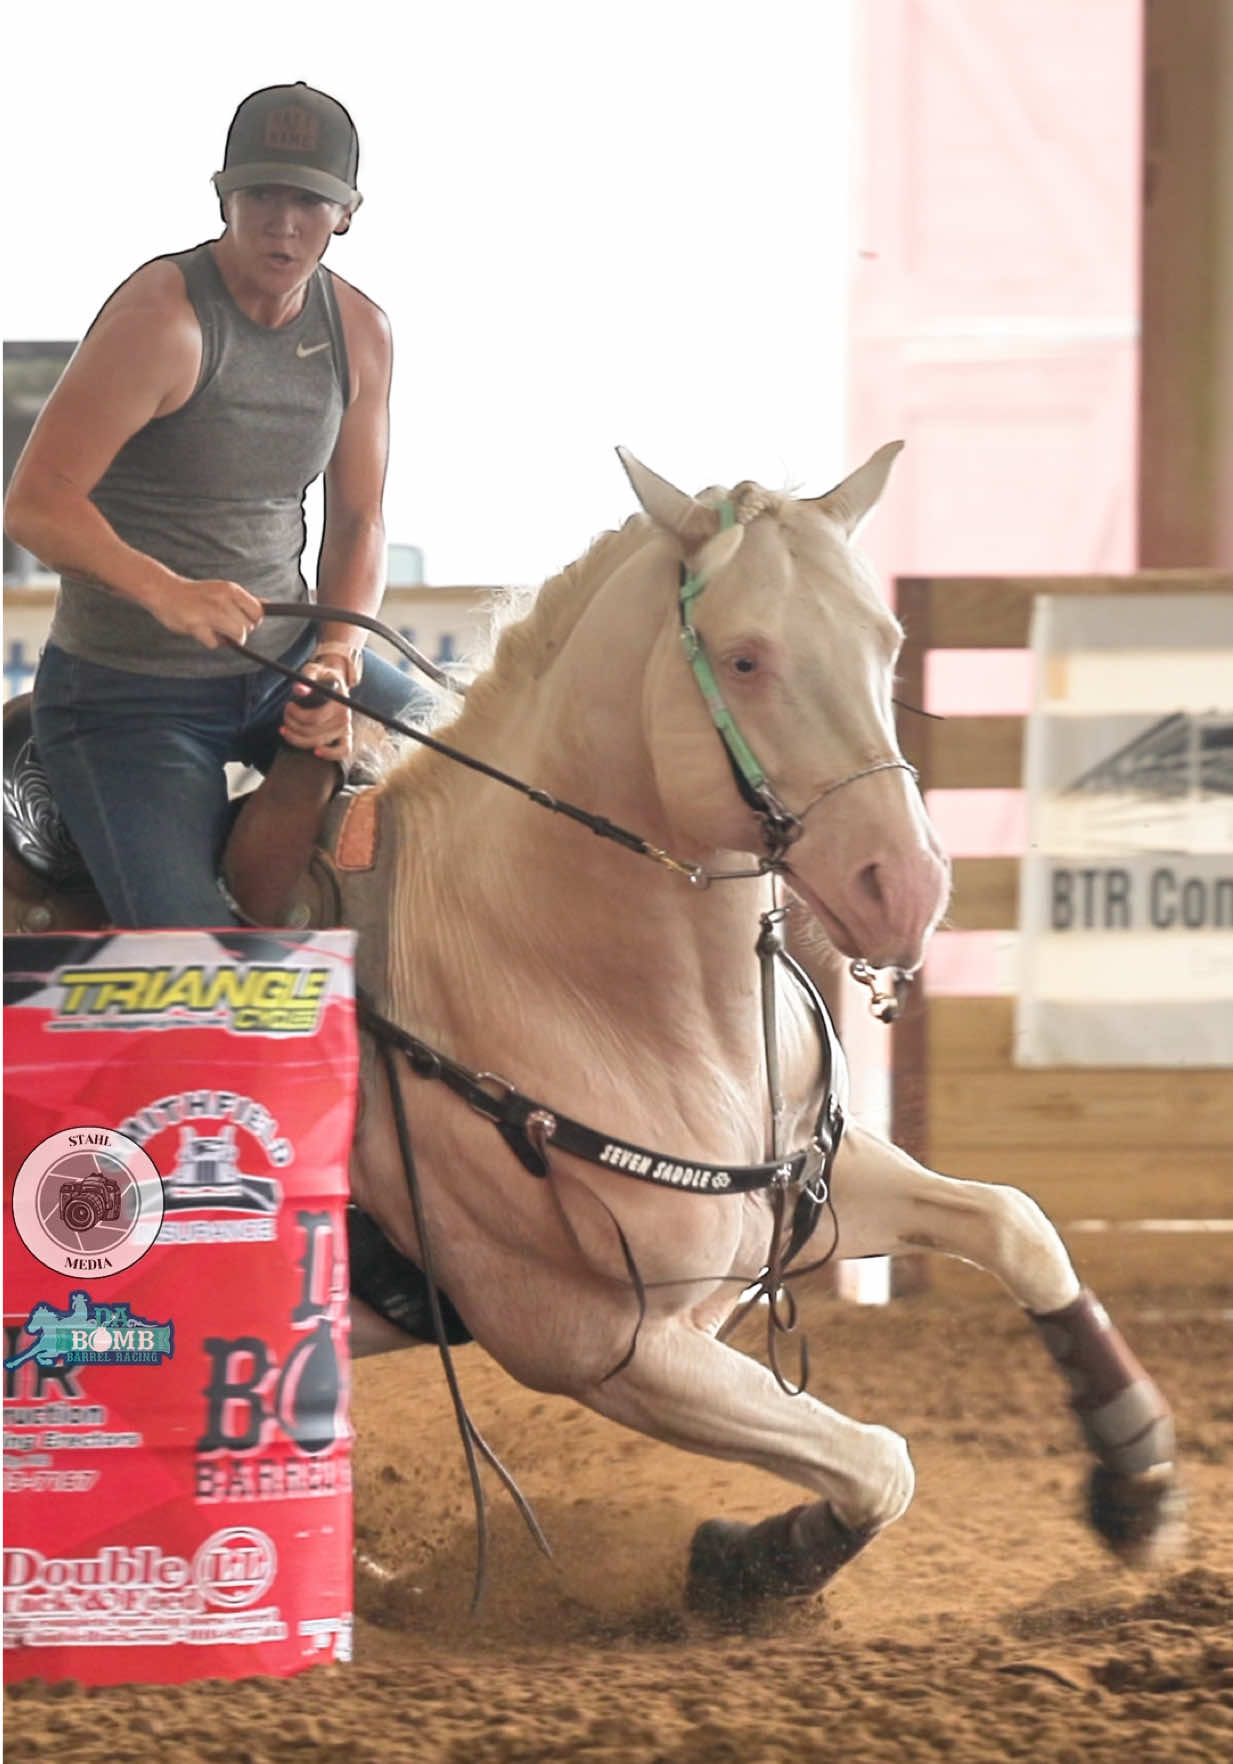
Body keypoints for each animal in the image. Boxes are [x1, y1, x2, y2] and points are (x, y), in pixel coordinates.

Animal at [3, 443, 1185, 1619]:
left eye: (885, 643)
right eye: (744, 659)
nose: (903, 887)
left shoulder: (805, 1191)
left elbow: (1015, 1224)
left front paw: (1138, 1479)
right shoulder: (597, 1346)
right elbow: (876, 1462)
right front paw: (748, 1563)